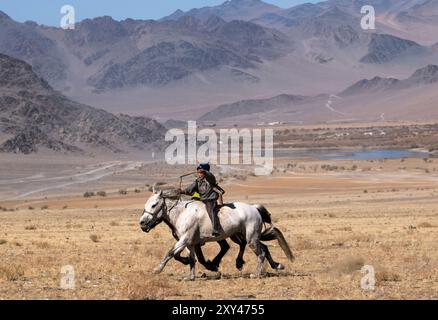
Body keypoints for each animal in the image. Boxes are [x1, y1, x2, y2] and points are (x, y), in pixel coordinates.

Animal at [139, 189, 292, 282]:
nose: (142, 223)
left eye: (154, 205)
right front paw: (191, 276)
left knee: (260, 253)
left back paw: (256, 274)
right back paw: (277, 265)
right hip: (248, 237)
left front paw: (157, 269)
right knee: (264, 248)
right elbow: (192, 259)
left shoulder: (184, 240)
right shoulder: (189, 243)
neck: (182, 213)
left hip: (250, 238)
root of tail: (254, 208)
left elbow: (171, 253)